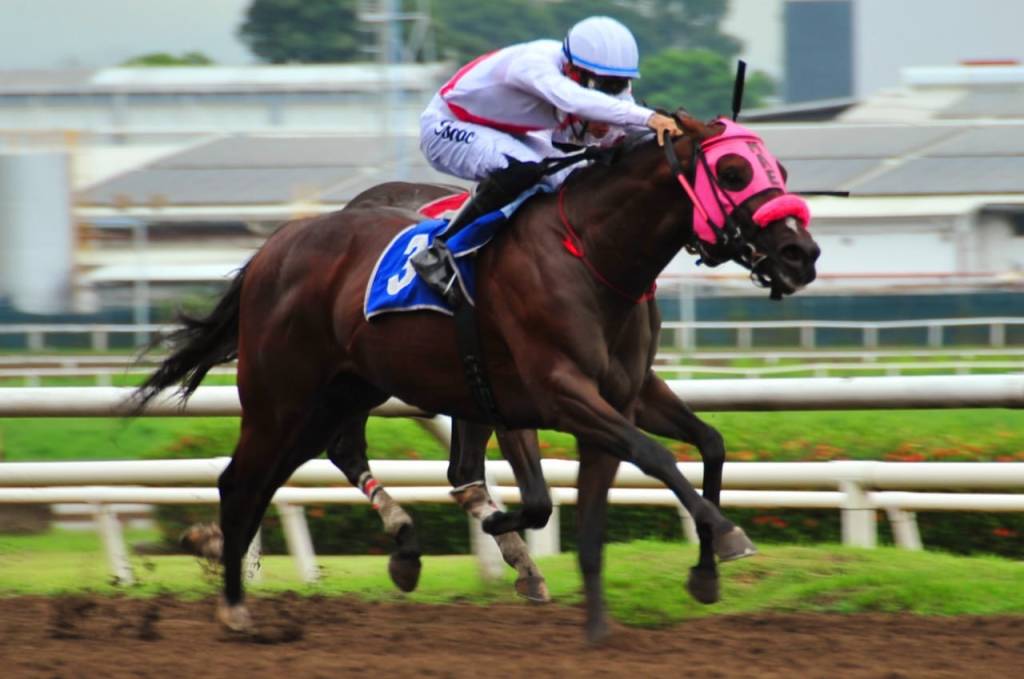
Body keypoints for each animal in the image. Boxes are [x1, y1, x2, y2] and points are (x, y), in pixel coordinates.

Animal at [134, 113, 820, 643]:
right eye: (732, 173)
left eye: (780, 170)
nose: (801, 255)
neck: (590, 252)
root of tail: (276, 246)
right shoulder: (557, 390)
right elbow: (653, 458)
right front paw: (726, 536)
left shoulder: (624, 394)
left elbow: (706, 444)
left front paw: (691, 579)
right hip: (282, 396)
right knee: (241, 482)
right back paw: (234, 605)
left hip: (341, 391)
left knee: (302, 464)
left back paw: (379, 550)